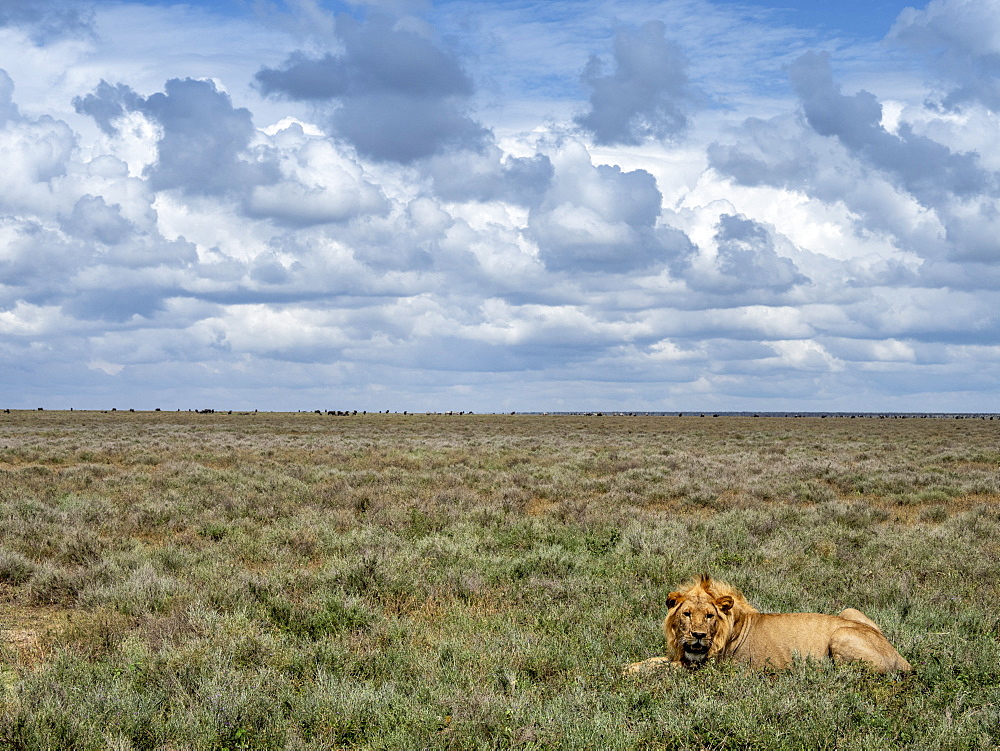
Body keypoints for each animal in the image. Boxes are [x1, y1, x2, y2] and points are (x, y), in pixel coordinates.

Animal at [628, 576, 912, 676]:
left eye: (709, 616)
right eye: (687, 614)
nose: (698, 636)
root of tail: (899, 656)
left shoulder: (712, 667)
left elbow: (665, 667)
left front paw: (629, 672)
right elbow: (658, 660)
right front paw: (629, 666)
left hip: (841, 635)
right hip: (849, 611)